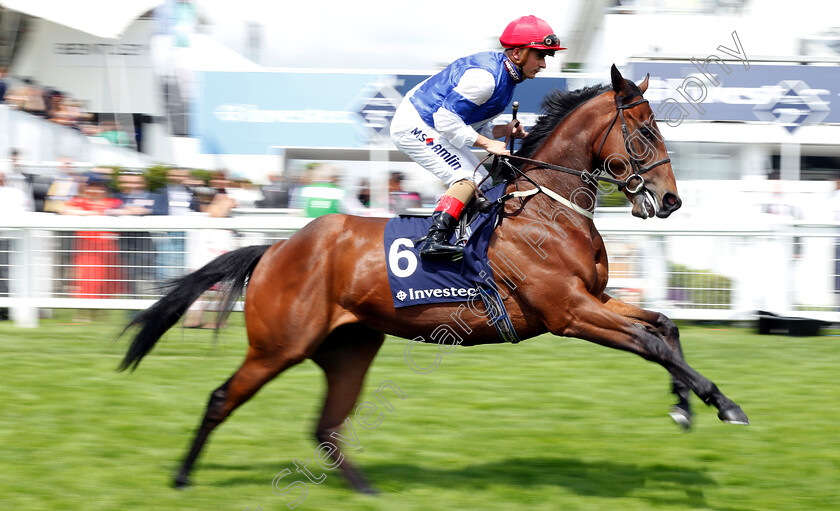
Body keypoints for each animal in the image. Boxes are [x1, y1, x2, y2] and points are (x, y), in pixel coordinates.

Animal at [120, 66, 748, 494]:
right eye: (644, 131)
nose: (670, 199)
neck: (548, 209)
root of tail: (277, 247)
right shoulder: (569, 313)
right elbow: (648, 342)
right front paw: (722, 404)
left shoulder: (593, 298)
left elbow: (663, 325)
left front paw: (689, 404)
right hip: (281, 343)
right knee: (222, 397)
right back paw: (181, 477)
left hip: (349, 346)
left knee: (326, 426)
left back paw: (367, 490)